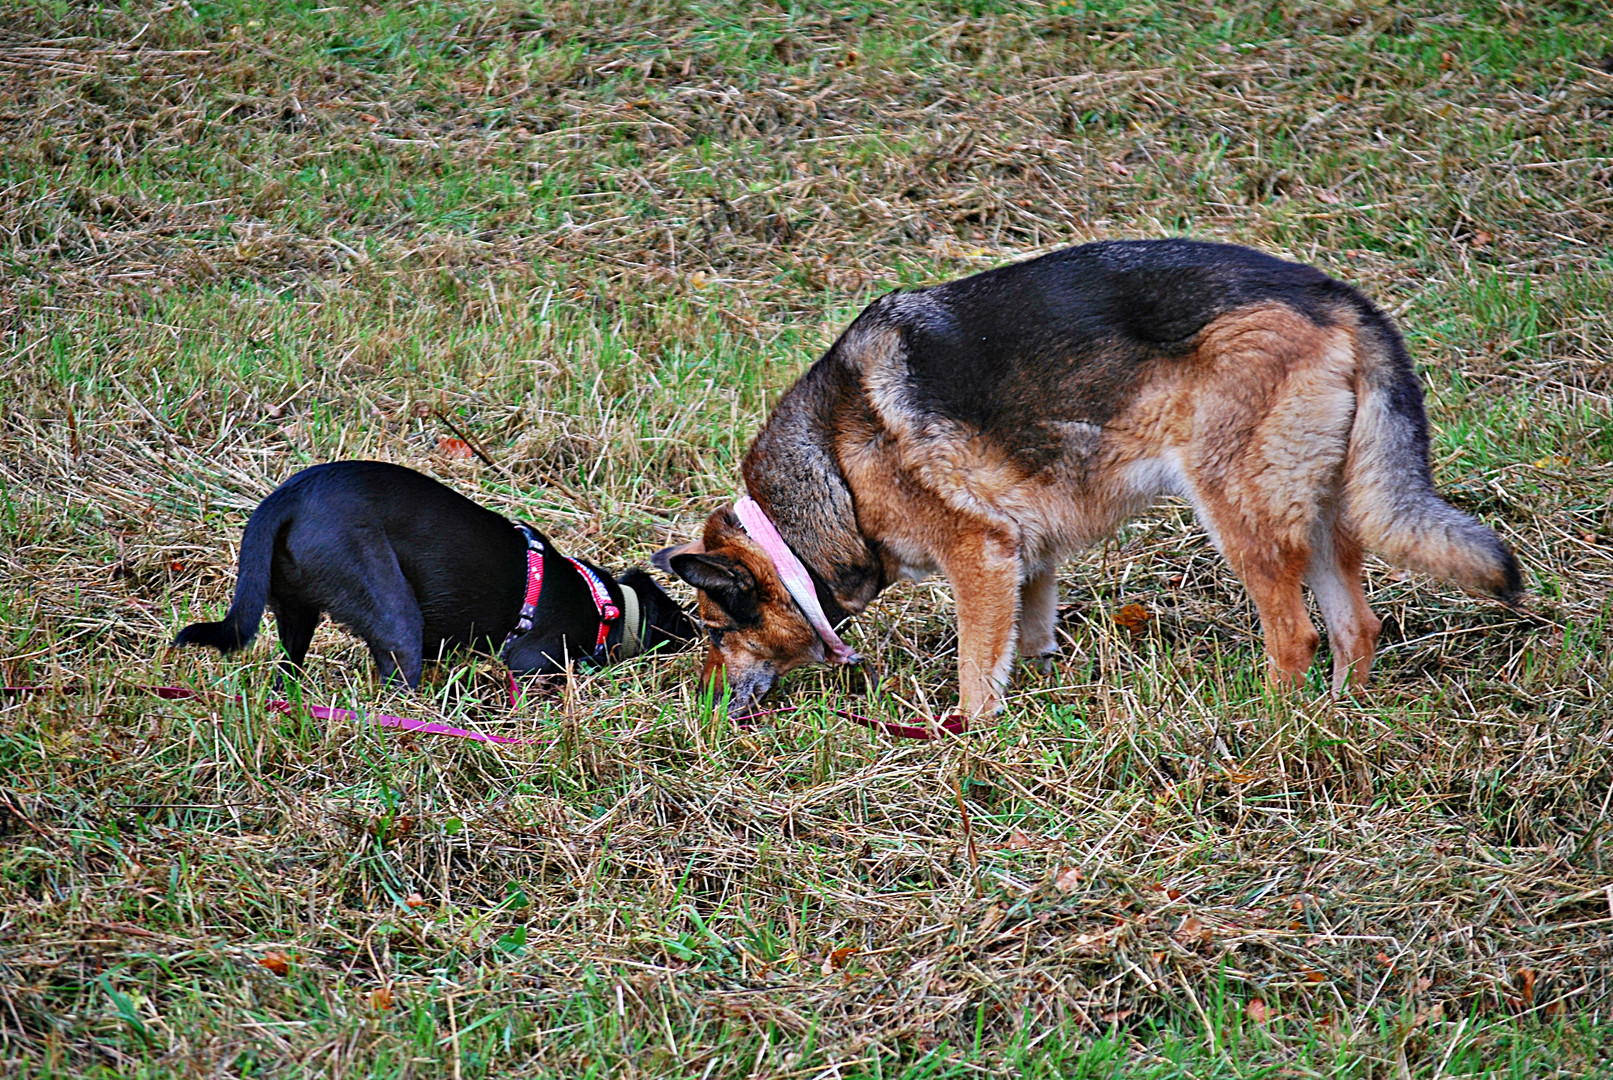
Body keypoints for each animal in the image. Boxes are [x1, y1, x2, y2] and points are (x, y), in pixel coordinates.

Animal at [175, 464, 693, 686]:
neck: (608, 604)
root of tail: (288, 498)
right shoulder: (530, 661)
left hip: (296, 613)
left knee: (289, 666)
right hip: (396, 617)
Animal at [654, 241, 1522, 722]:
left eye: (715, 632)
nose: (699, 707)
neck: (830, 474)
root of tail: (1335, 298)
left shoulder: (978, 555)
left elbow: (975, 672)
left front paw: (966, 737)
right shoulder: (1024, 557)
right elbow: (1028, 640)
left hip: (1240, 516)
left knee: (1295, 636)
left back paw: (1266, 726)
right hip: (1322, 517)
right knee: (1355, 628)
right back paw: (1339, 717)